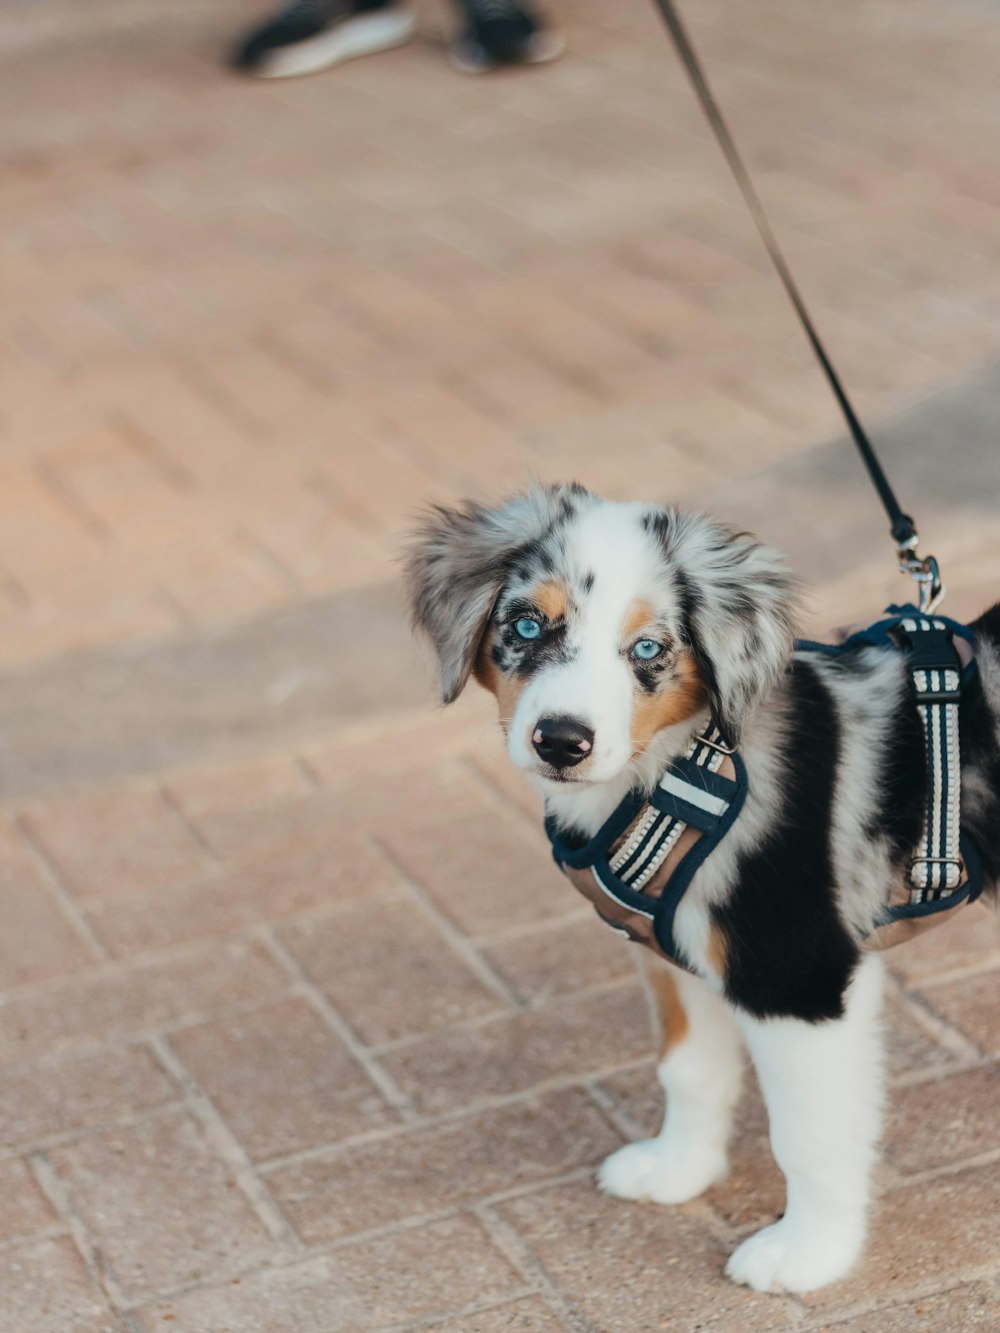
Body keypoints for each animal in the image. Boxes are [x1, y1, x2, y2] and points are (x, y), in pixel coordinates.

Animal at [402, 485, 997, 1295]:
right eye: (525, 625)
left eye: (649, 649)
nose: (561, 741)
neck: (683, 763)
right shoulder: (676, 952)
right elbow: (689, 1069)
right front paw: (678, 1169)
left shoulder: (800, 975)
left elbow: (809, 1130)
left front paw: (809, 1252)